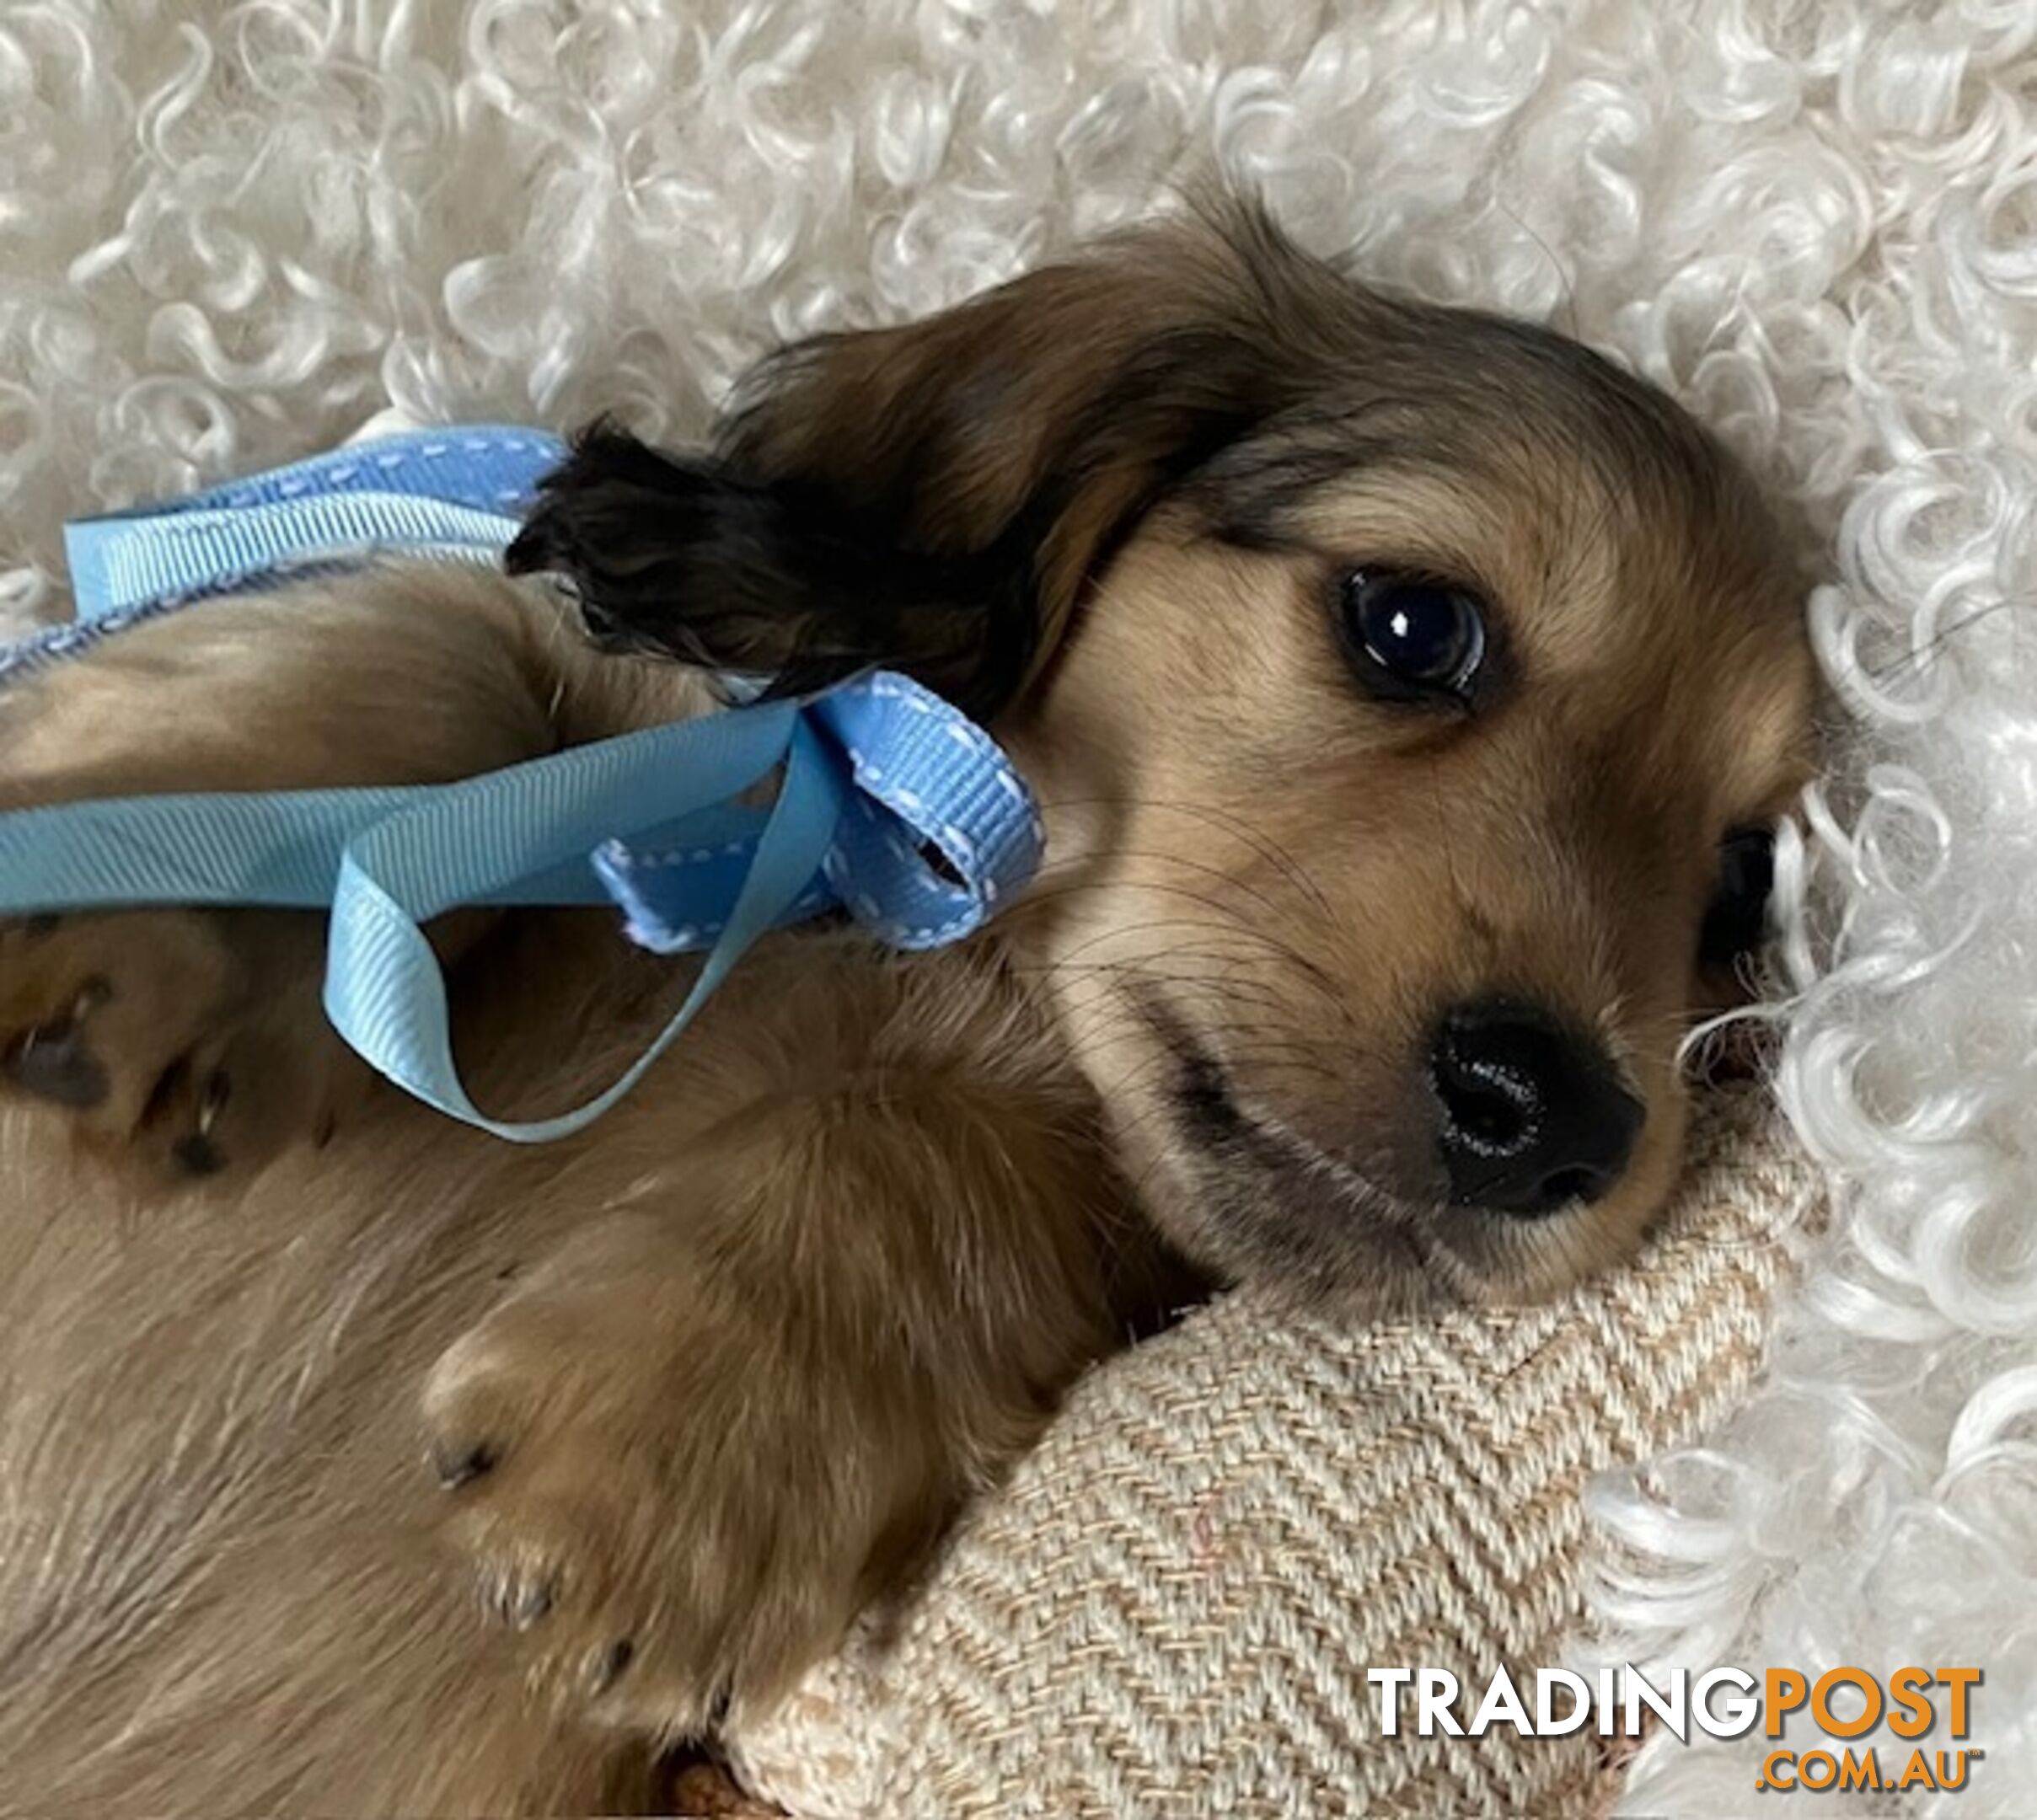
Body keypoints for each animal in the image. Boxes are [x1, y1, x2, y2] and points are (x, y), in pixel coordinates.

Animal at [0, 203, 1809, 1820]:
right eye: (1414, 625)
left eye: (1739, 886)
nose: (1556, 1117)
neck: (919, 949)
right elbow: (440, 659)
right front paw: (145, 909)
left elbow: (943, 1151)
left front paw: (662, 1457)